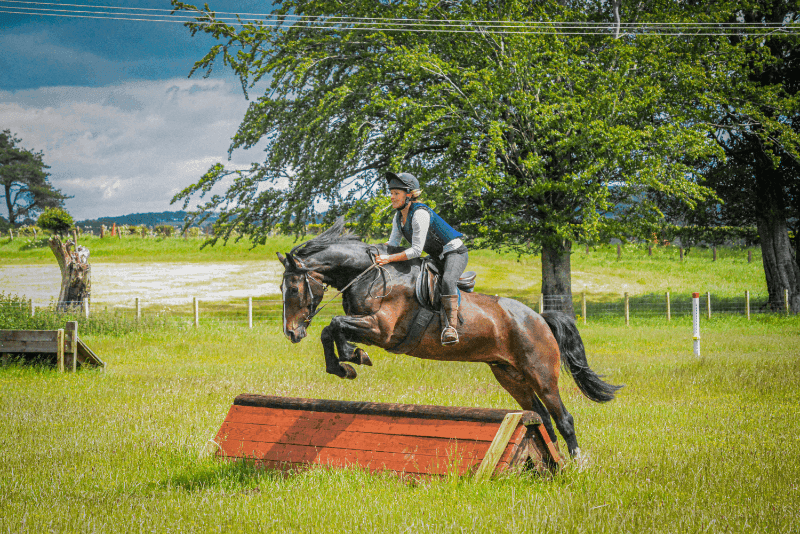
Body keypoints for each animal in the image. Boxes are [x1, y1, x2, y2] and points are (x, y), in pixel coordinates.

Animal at [277, 217, 622, 459]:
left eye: (292, 288)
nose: (292, 332)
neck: (371, 274)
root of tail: (539, 318)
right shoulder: (368, 326)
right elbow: (331, 330)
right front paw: (346, 362)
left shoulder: (382, 330)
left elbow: (334, 324)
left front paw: (351, 358)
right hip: (510, 376)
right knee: (542, 419)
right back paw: (553, 458)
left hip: (542, 374)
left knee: (563, 418)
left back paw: (576, 463)